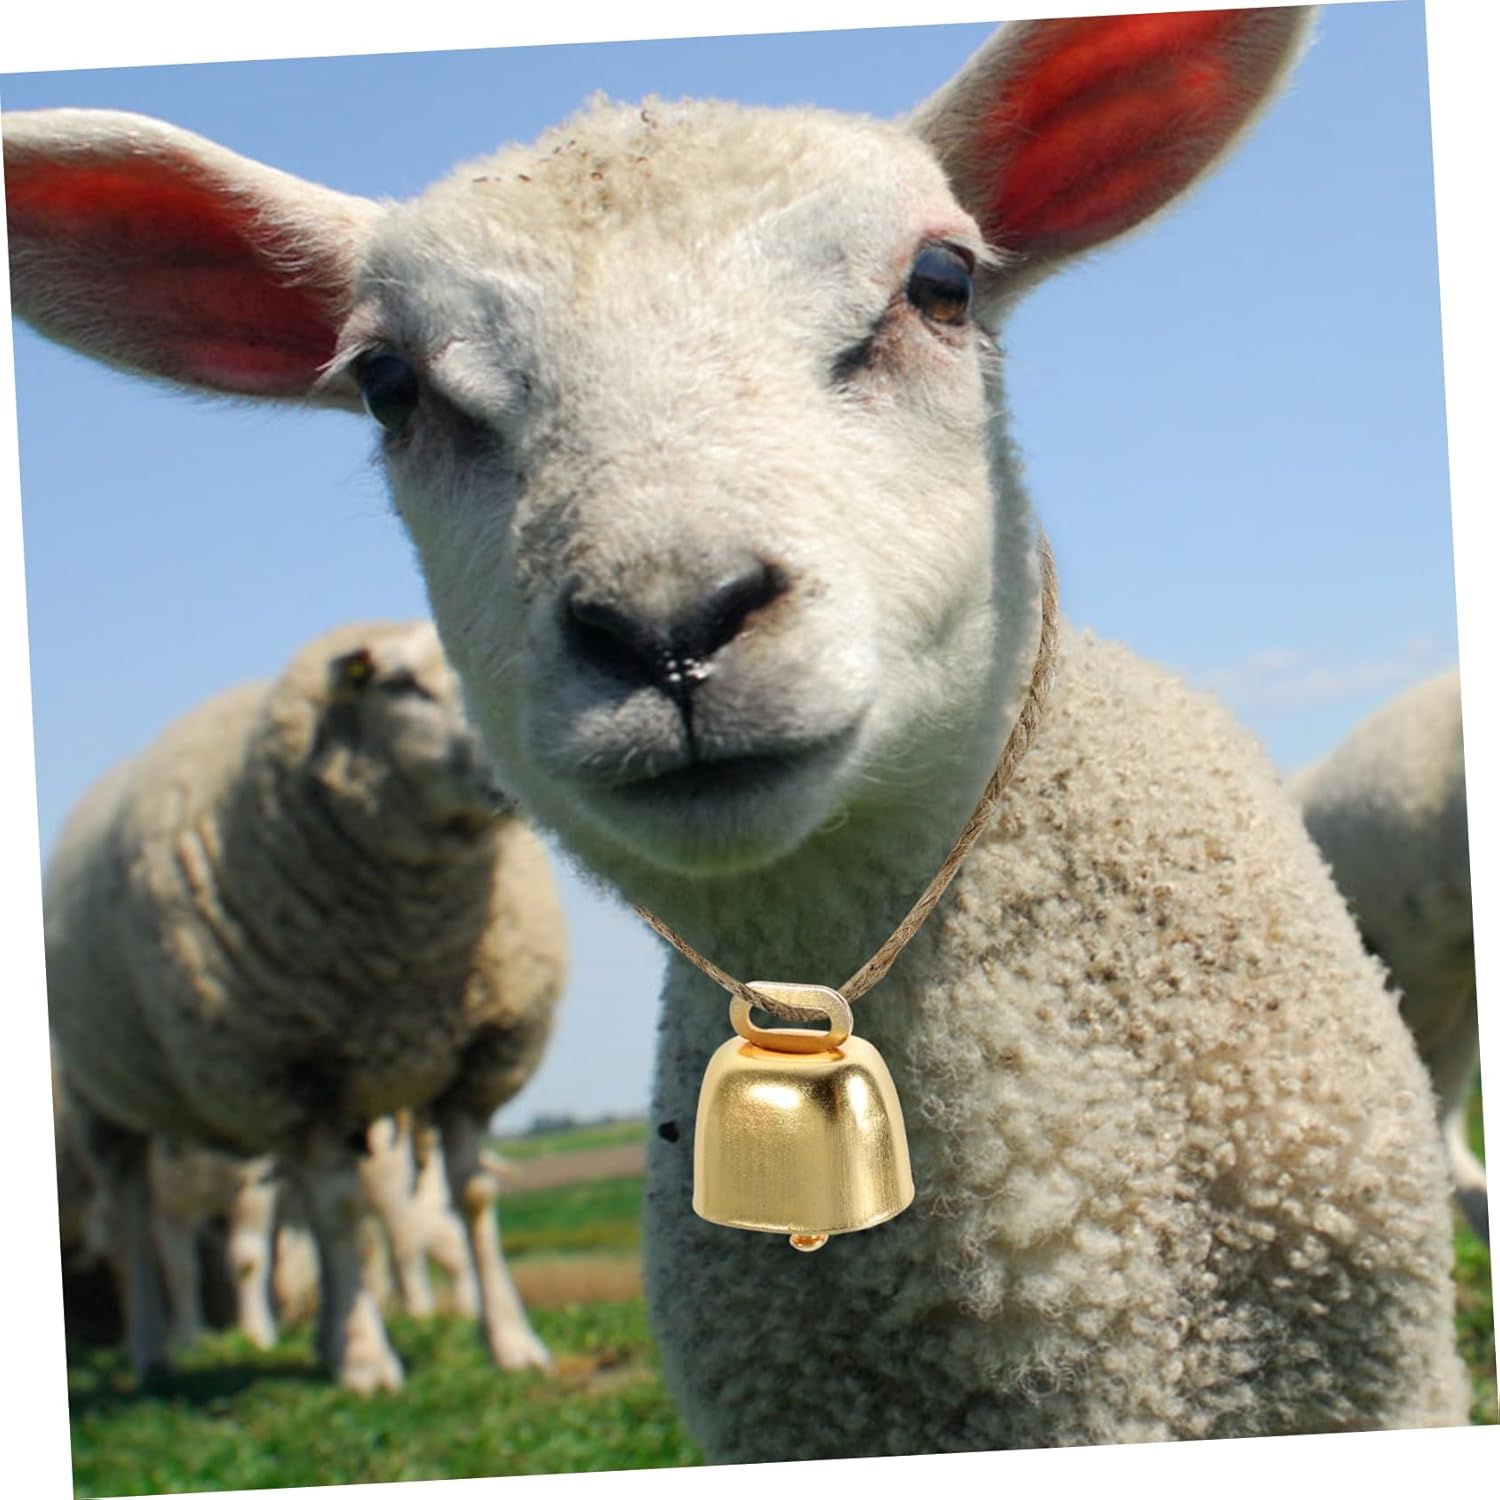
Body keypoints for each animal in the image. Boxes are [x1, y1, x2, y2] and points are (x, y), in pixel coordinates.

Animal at [39, 620, 566, 1392]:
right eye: (400, 685)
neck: (411, 950)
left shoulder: (474, 1061)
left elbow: (469, 1198)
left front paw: (511, 1342)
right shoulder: (293, 1071)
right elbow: (342, 1211)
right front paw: (370, 1361)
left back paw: (324, 1338)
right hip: (104, 1104)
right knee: (137, 1226)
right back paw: (151, 1352)